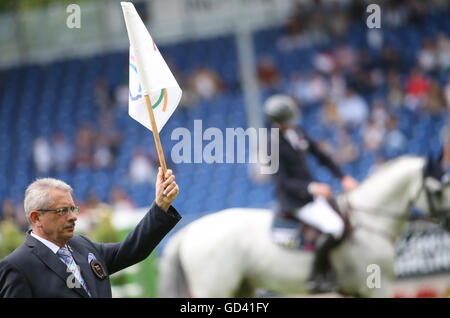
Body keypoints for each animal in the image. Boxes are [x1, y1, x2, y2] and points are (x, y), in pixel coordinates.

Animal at [158, 155, 450, 296]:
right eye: (438, 190)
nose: (448, 222)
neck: (370, 221)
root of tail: (189, 231)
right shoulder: (377, 288)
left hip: (242, 288)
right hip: (215, 288)